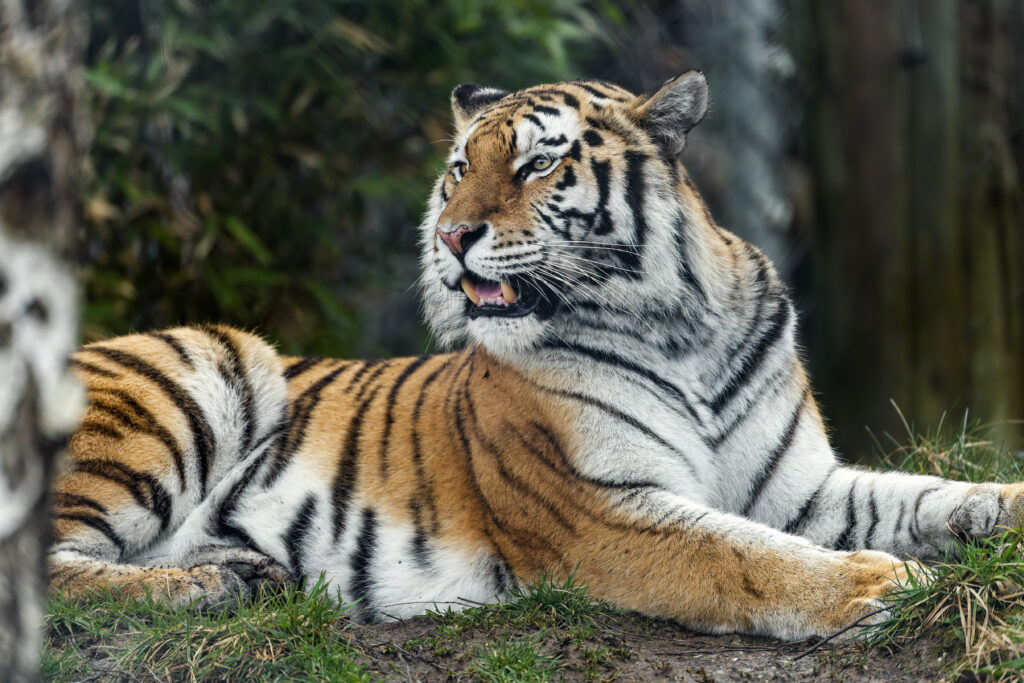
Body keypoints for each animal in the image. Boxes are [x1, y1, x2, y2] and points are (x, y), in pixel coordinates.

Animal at [50, 72, 1024, 641]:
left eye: (534, 167)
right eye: (458, 169)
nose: (449, 237)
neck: (679, 327)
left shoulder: (803, 487)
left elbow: (933, 495)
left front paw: (997, 506)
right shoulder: (603, 512)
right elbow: (752, 556)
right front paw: (880, 580)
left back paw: (239, 572)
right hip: (201, 368)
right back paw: (211, 586)